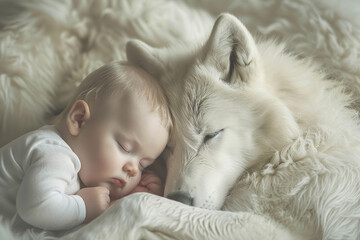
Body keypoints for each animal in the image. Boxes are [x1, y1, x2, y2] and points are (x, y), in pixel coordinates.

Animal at [126, 14, 360, 239]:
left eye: (212, 135)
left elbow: (137, 202)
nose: (179, 199)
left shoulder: (274, 228)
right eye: (167, 147)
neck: (293, 149)